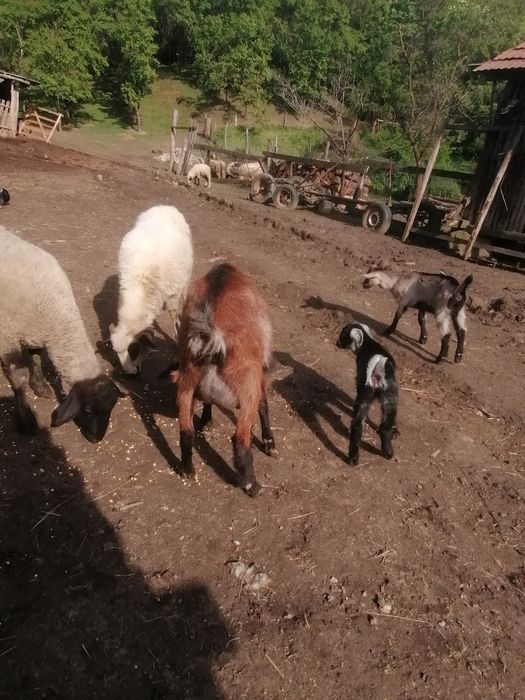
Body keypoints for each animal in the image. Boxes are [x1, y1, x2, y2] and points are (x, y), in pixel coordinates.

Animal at [0, 226, 119, 441]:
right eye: (88, 410)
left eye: (111, 408)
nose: (97, 439)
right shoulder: (7, 336)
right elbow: (18, 377)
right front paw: (25, 419)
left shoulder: (37, 331)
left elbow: (36, 358)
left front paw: (40, 386)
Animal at [110, 205, 193, 375]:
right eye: (117, 354)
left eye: (134, 350)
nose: (130, 374)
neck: (140, 287)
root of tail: (165, 206)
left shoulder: (172, 295)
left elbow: (174, 316)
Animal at [175, 263, 275, 497]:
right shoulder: (257, 379)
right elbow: (264, 404)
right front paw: (269, 443)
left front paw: (206, 421)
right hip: (247, 388)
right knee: (239, 439)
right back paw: (252, 486)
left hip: (186, 382)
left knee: (186, 431)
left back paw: (187, 469)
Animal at [337, 323, 398, 465]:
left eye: (342, 334)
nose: (337, 343)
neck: (368, 343)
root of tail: (377, 368)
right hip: (390, 397)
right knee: (384, 427)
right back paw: (387, 452)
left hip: (365, 396)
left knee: (357, 425)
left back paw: (353, 458)